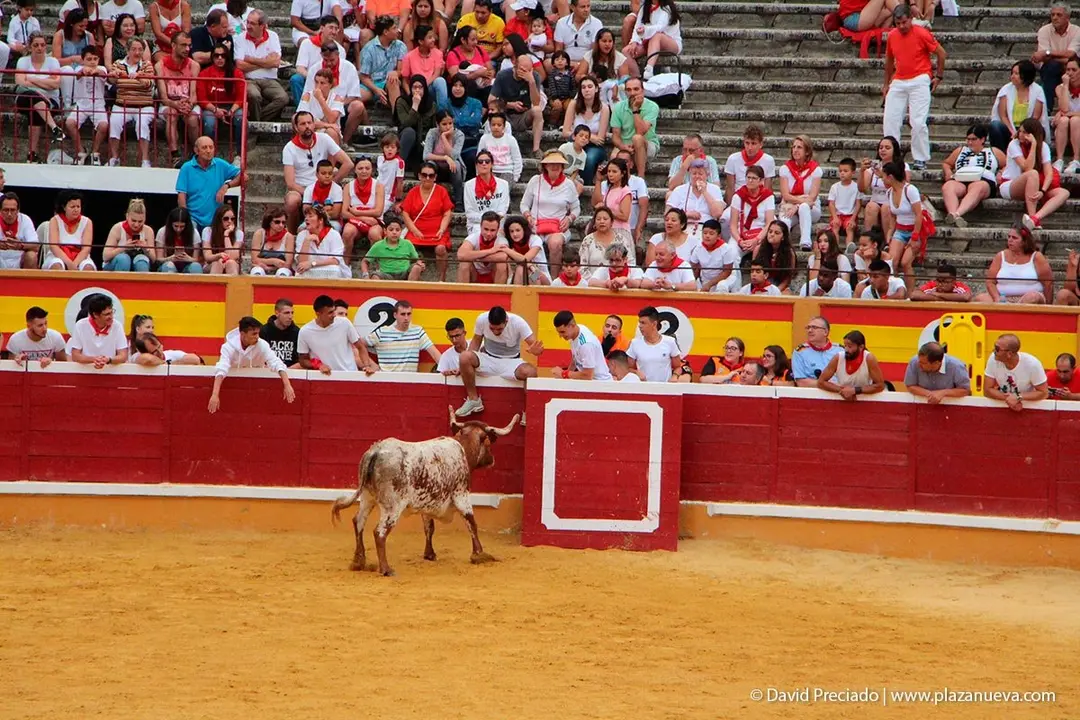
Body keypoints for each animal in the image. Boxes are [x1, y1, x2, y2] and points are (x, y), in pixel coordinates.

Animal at [331, 407, 519, 576]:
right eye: (488, 443)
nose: (492, 460)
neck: (463, 449)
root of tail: (375, 452)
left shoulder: (428, 502)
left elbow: (429, 526)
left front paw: (430, 554)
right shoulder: (462, 495)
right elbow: (471, 523)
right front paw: (480, 555)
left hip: (367, 497)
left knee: (358, 521)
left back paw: (358, 562)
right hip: (393, 506)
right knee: (380, 532)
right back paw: (385, 569)